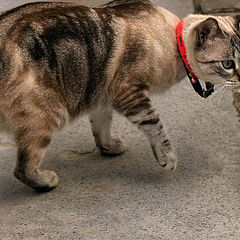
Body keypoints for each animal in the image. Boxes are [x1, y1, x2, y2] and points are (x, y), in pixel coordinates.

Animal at [0, 0, 239, 191]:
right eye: (228, 64)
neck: (174, 39)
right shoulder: (129, 93)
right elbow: (155, 126)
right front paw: (167, 157)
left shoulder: (101, 94)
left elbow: (101, 126)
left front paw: (109, 148)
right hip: (47, 115)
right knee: (22, 167)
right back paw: (46, 182)